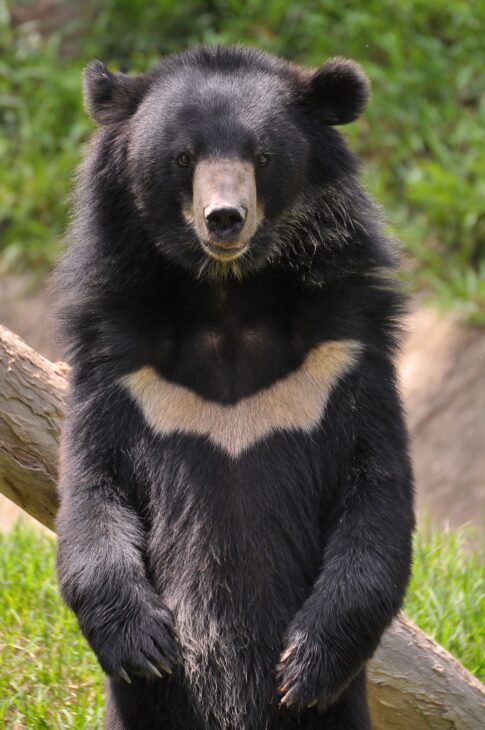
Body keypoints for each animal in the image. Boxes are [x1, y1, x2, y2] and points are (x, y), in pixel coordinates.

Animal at [54, 45, 415, 730]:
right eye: (183, 158)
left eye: (262, 157)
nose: (225, 219)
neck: (227, 296)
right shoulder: (116, 365)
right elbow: (91, 492)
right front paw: (145, 646)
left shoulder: (344, 355)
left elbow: (376, 499)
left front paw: (304, 666)